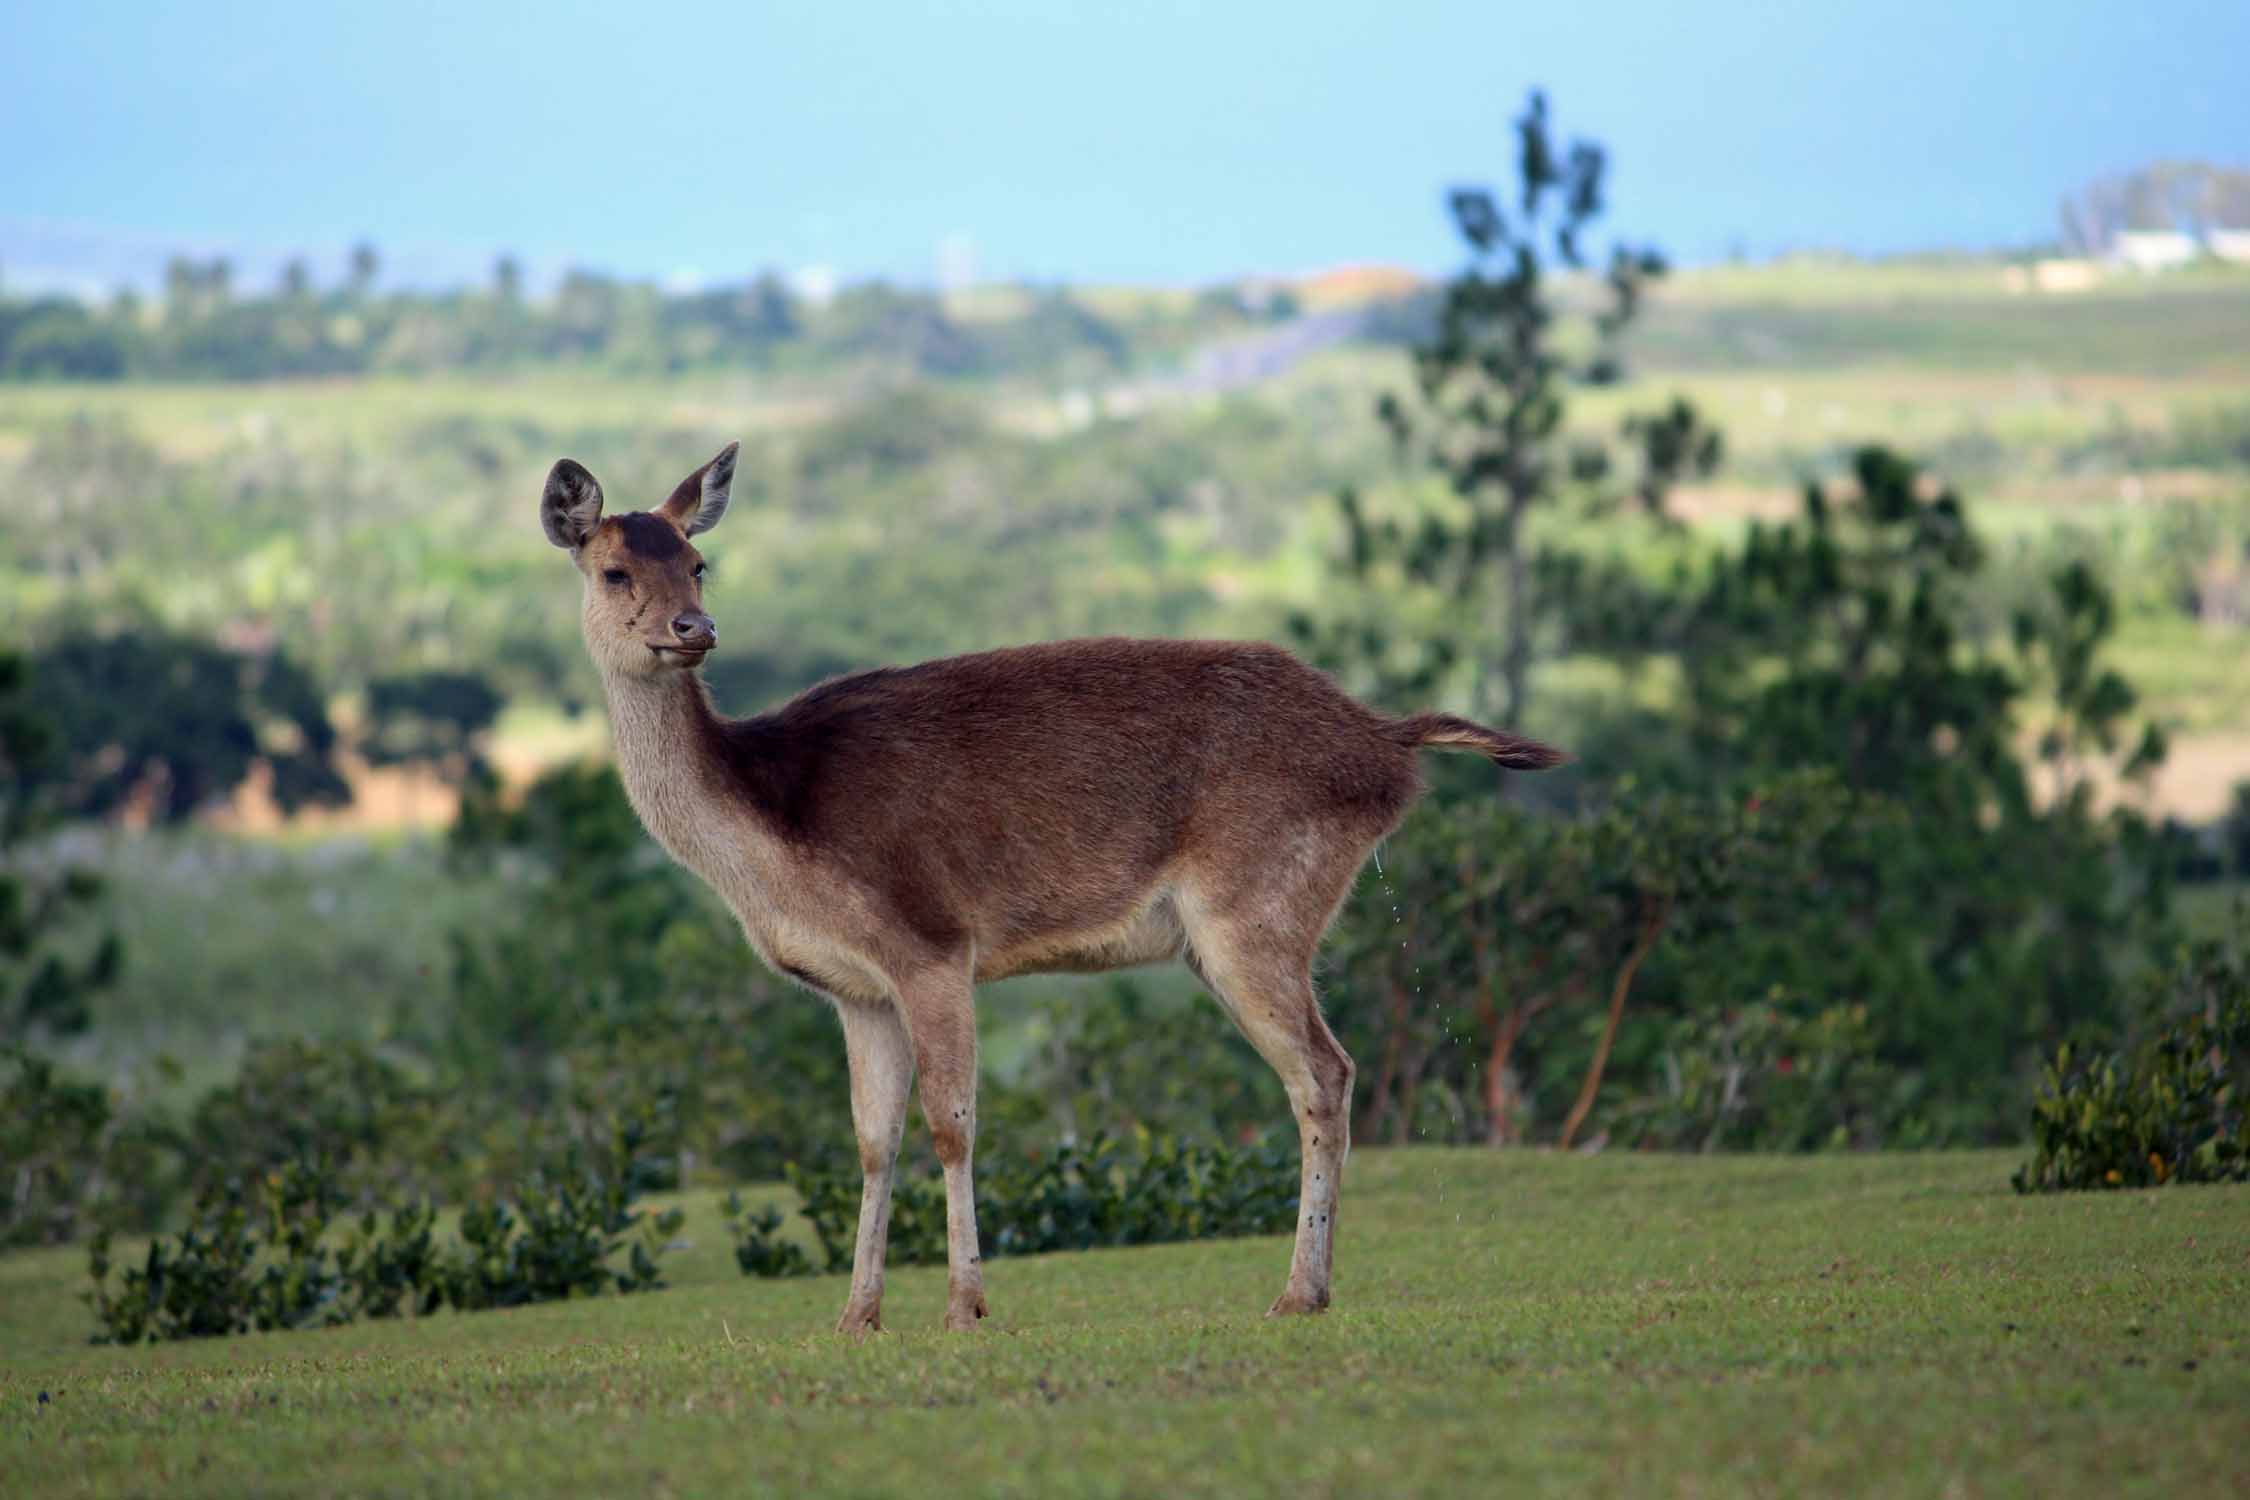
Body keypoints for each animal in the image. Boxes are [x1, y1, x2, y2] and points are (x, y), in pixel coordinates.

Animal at [542, 440, 1566, 1331]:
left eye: (700, 562)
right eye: (615, 572)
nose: (694, 629)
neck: (772, 835)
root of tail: (1386, 748)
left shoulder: (932, 942)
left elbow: (952, 1124)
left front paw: (965, 1305)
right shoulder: (854, 990)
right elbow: (874, 1141)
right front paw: (855, 1316)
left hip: (1259, 902)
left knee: (1324, 1072)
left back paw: (1298, 1293)